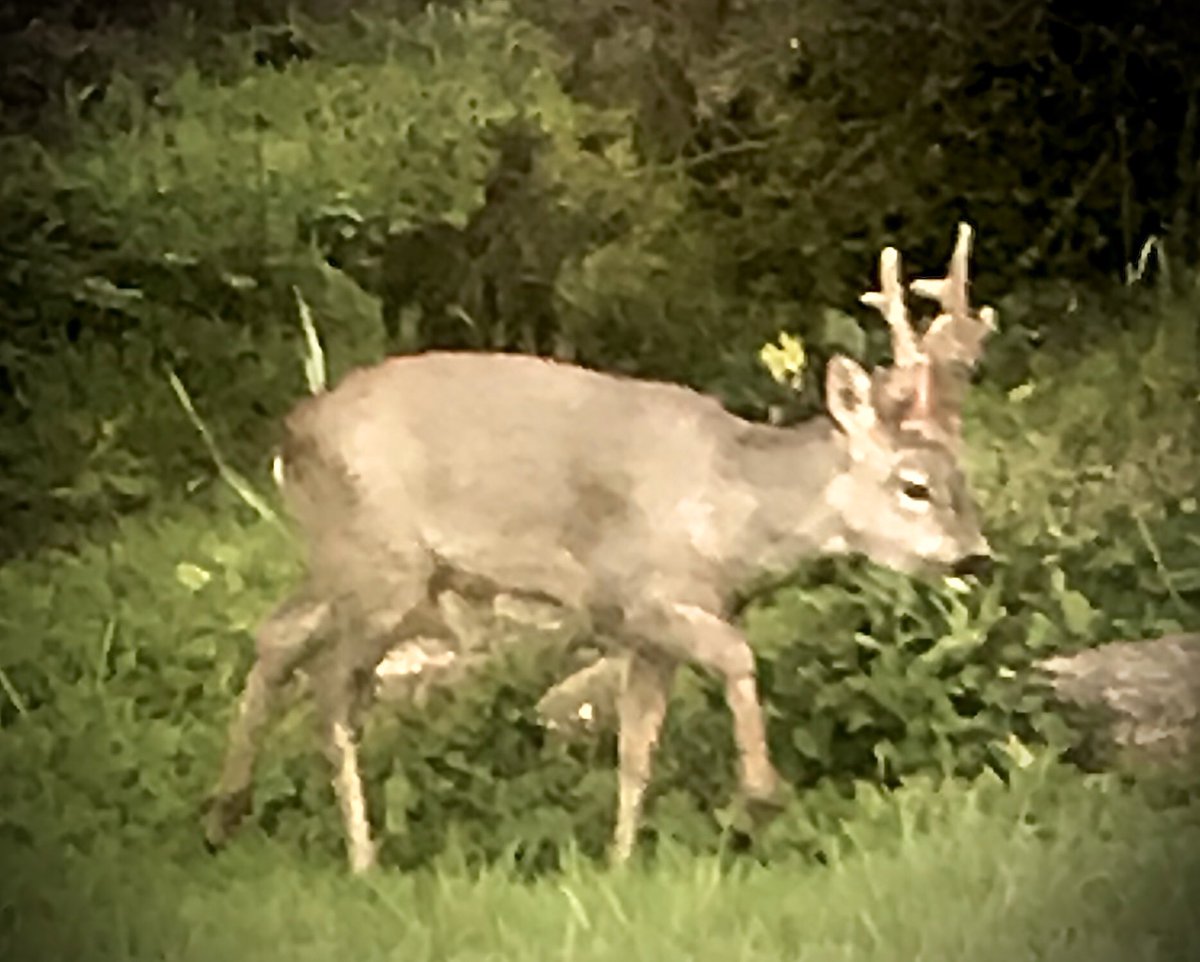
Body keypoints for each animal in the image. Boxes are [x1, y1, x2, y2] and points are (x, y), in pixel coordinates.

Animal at [204, 220, 993, 863]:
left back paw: (225, 811)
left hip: (347, 561)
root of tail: (292, 432)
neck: (732, 513)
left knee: (278, 635)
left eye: (964, 474)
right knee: (331, 691)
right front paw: (760, 799)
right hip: (383, 567)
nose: (976, 555)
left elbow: (636, 746)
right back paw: (361, 857)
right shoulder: (643, 593)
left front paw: (619, 860)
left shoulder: (647, 634)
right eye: (914, 484)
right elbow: (737, 658)